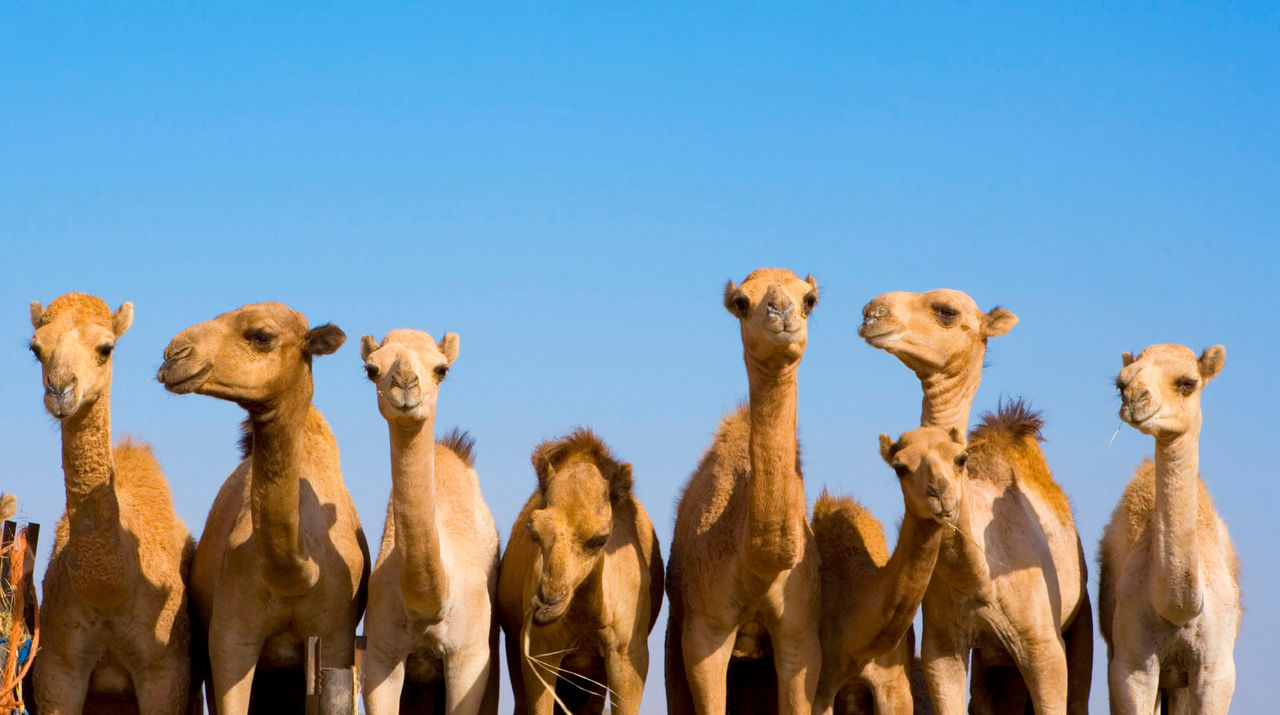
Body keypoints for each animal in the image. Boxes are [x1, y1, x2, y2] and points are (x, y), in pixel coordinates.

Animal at [28, 293, 196, 714]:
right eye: (36, 349)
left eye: (106, 348)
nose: (60, 390)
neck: (108, 589)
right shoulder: (57, 670)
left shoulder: (166, 672)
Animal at [358, 329, 500, 714]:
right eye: (371, 369)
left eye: (441, 369)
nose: (406, 383)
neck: (430, 604)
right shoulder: (380, 654)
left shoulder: (469, 657)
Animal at [859, 289, 1091, 714]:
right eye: (900, 466)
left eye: (947, 311)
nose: (873, 312)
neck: (980, 573)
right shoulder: (943, 650)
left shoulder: (1043, 645)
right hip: (993, 667)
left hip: (1081, 617)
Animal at [1100, 344, 1240, 714]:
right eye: (1121, 383)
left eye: (1188, 382)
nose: (1134, 397)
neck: (1179, 610)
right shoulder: (1132, 666)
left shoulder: (1217, 668)